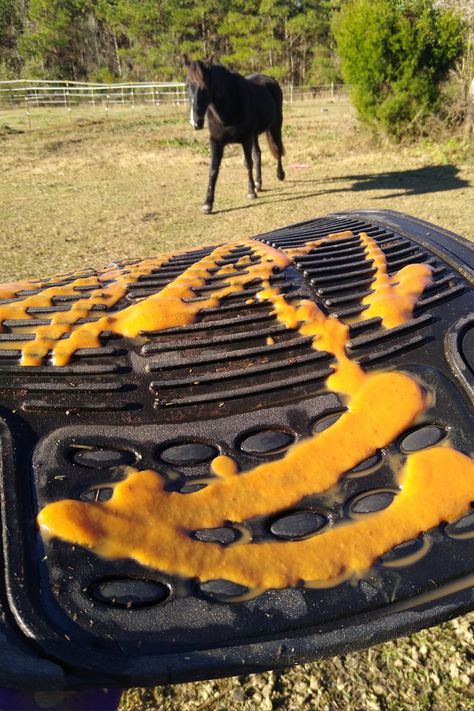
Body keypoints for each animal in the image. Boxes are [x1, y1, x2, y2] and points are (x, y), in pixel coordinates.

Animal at [186, 60, 286, 214]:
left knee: (277, 148)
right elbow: (213, 169)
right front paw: (207, 203)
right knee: (258, 154)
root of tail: (270, 79)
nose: (195, 122)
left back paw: (280, 174)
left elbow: (248, 163)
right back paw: (258, 183)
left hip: (275, 126)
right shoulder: (216, 141)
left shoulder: (245, 139)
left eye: (205, 87)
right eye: (187, 86)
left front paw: (251, 192)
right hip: (255, 135)